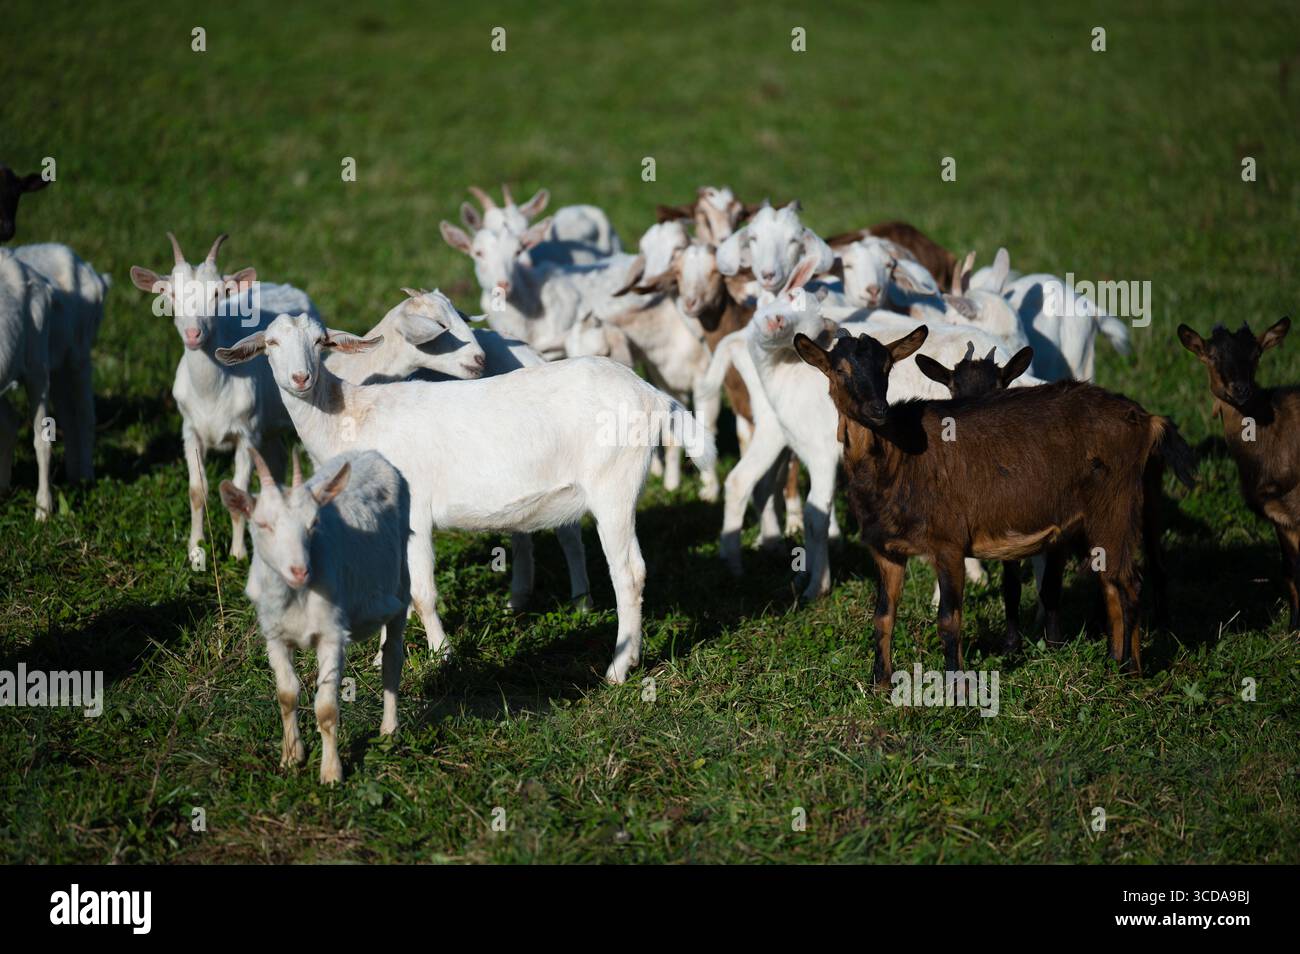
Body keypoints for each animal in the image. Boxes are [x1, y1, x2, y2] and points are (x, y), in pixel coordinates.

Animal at [220, 448, 410, 784]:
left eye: (313, 524)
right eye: (263, 524)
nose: (300, 571)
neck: (297, 596)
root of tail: (371, 453)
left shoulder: (332, 635)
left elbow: (326, 708)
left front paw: (331, 773)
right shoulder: (274, 636)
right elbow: (286, 694)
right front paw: (290, 757)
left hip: (401, 576)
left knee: (393, 653)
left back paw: (389, 731)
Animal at [1179, 318, 1299, 628]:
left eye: (1256, 354)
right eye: (1212, 356)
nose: (1241, 390)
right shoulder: (1280, 516)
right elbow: (1290, 570)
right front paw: (1294, 627)